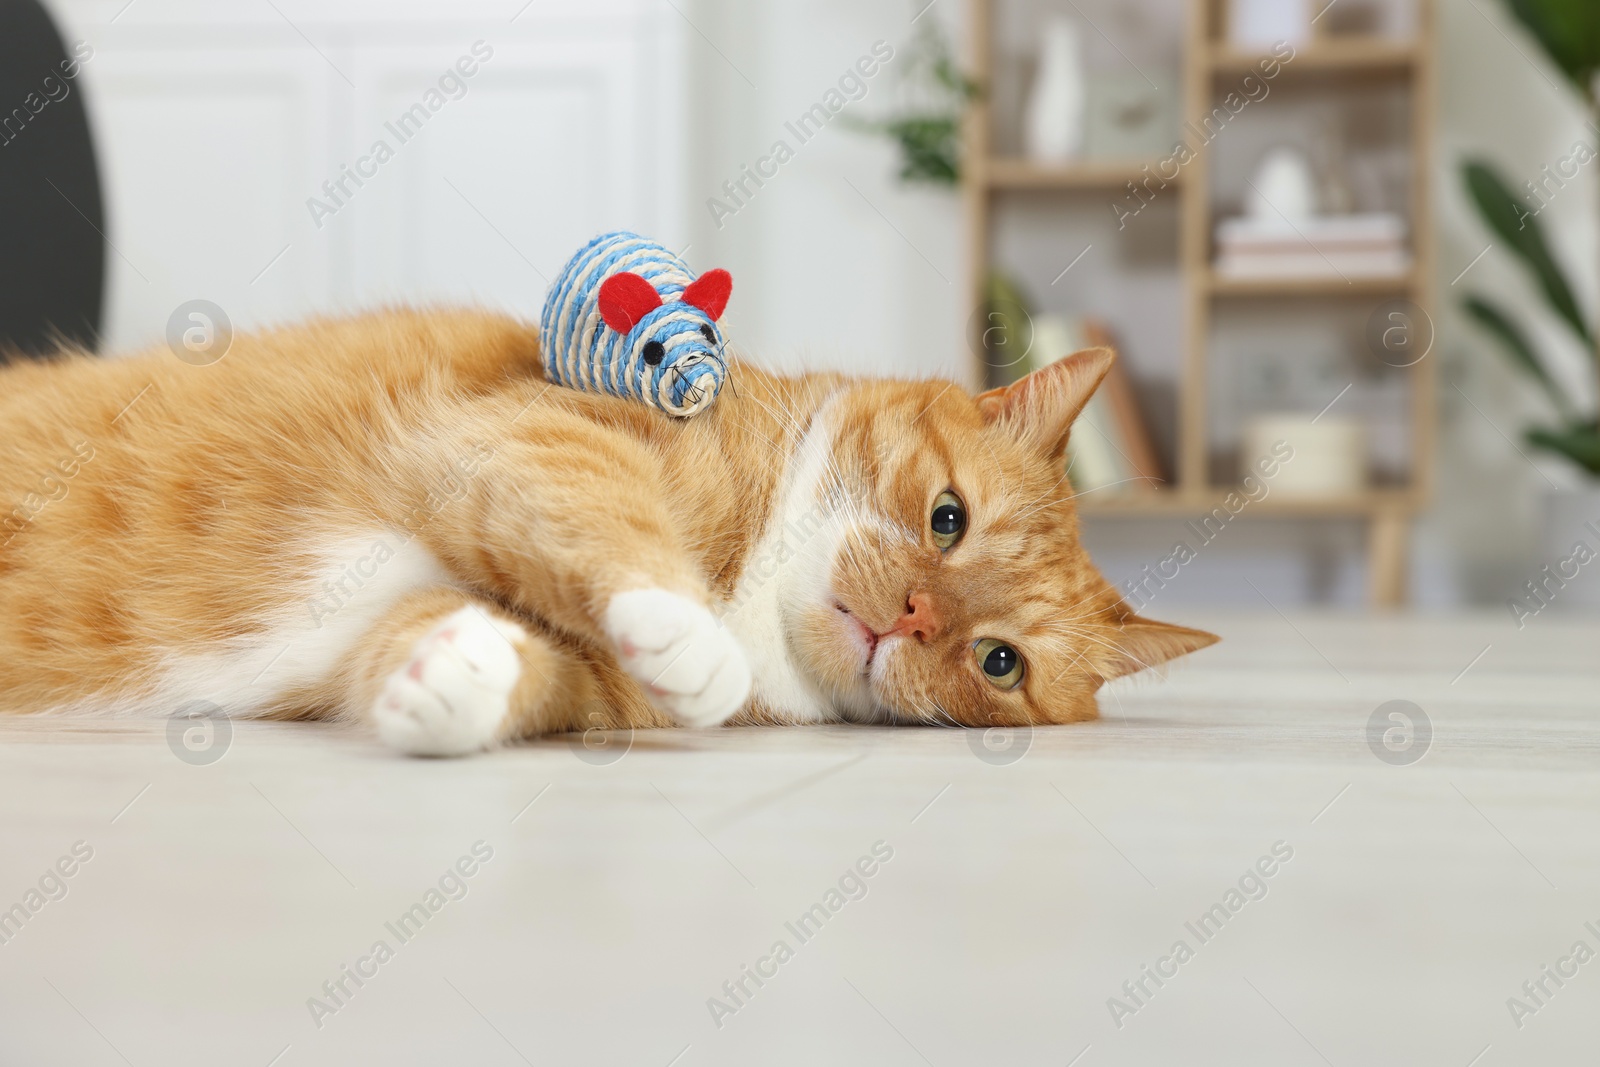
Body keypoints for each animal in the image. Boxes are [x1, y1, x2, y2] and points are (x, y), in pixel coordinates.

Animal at [0, 308, 1209, 755]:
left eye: (999, 662)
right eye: (946, 520)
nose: (913, 615)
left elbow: (517, 669)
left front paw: (452, 675)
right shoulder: (534, 430)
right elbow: (608, 515)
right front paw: (685, 628)